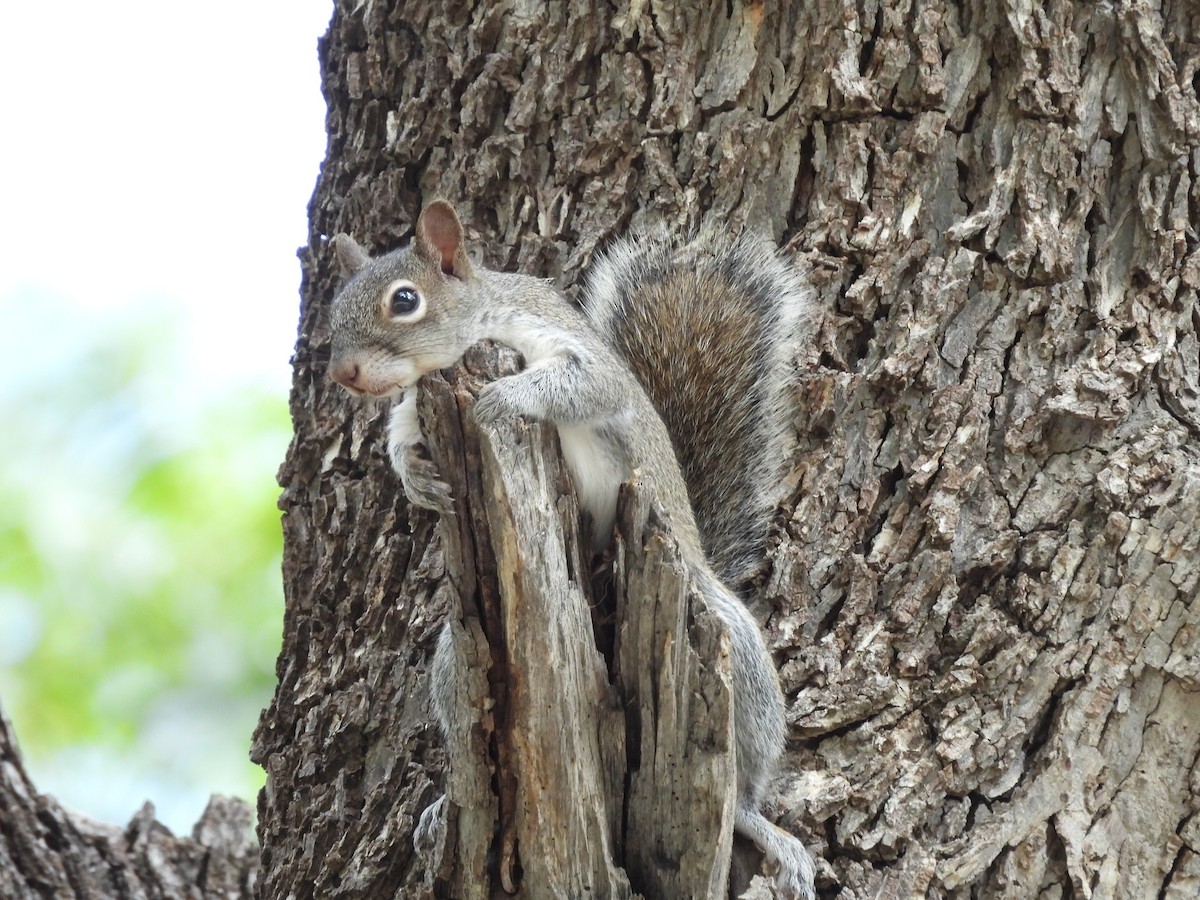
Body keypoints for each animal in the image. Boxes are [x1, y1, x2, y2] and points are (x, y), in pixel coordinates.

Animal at [328, 201, 817, 900]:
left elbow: (578, 387)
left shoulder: (577, 358)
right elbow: (401, 427)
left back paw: (763, 827)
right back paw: (441, 808)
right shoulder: (419, 401)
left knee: (745, 782)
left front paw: (503, 398)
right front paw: (413, 474)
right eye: (335, 309)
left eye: (404, 300)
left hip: (725, 642)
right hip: (458, 654)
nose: (344, 374)